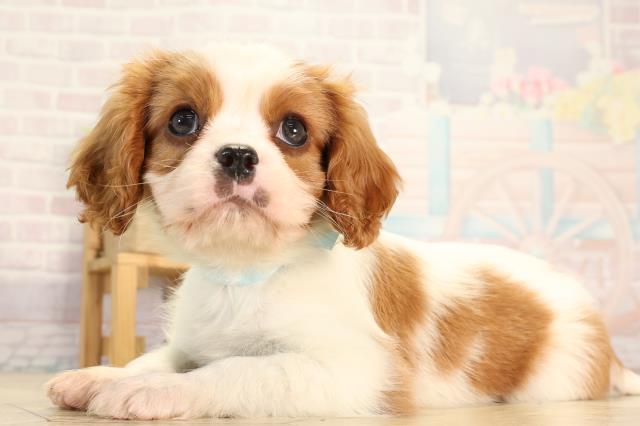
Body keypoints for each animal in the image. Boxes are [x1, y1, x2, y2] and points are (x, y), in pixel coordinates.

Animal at [46, 43, 640, 420]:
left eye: (293, 130)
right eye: (183, 120)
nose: (238, 155)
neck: (248, 273)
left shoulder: (354, 372)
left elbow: (236, 371)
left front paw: (152, 391)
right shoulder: (197, 338)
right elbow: (162, 355)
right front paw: (103, 375)